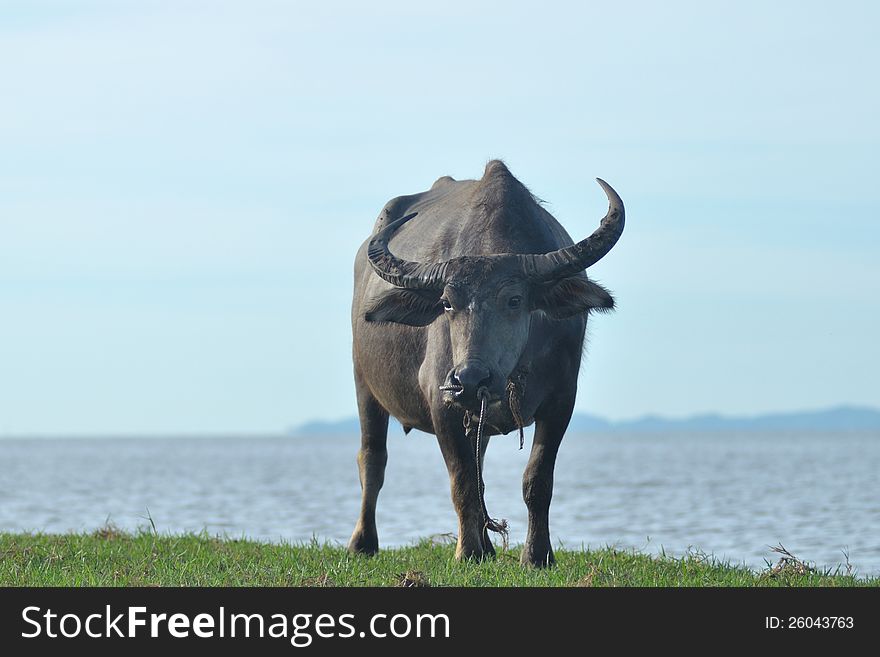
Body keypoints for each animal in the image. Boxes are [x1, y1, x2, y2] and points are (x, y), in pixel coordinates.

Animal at [348, 160, 624, 564]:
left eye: (514, 299)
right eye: (447, 303)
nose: (469, 379)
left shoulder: (561, 401)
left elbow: (536, 479)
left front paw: (537, 555)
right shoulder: (442, 403)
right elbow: (461, 481)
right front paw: (467, 552)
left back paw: (489, 546)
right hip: (364, 384)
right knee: (372, 460)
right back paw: (363, 542)